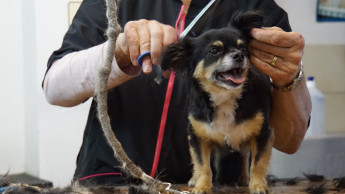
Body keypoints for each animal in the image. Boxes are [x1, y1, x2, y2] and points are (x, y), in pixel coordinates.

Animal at [161, 11, 272, 193]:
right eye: (214, 50)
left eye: (243, 48)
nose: (239, 55)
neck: (224, 96)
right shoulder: (198, 137)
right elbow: (203, 166)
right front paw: (202, 186)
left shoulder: (262, 134)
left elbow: (257, 164)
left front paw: (257, 185)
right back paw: (194, 179)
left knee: (244, 155)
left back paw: (244, 177)